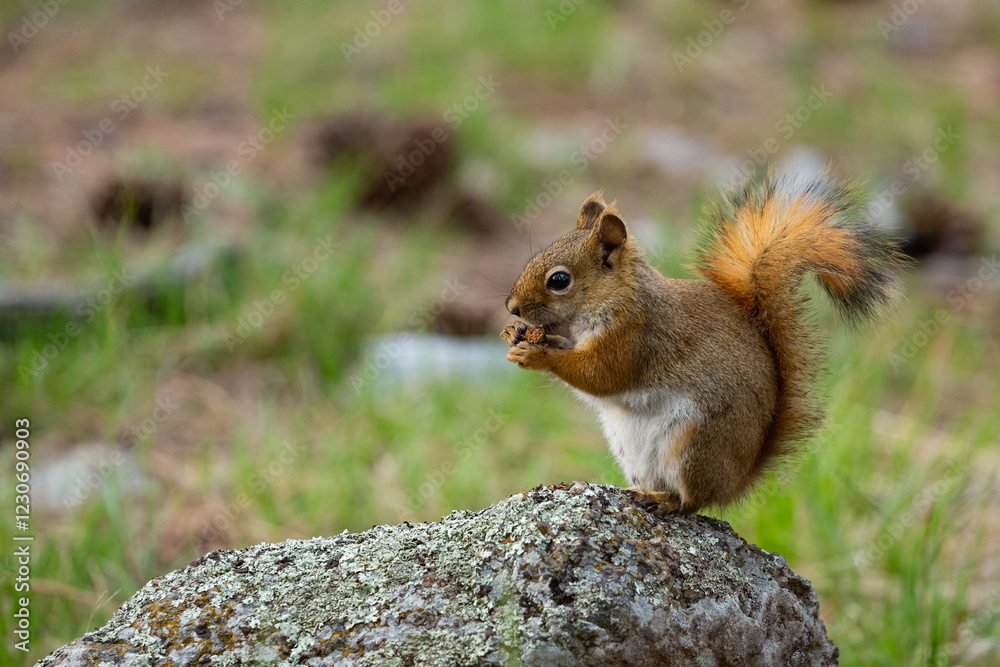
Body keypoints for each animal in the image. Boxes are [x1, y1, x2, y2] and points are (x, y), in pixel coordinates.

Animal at [501, 173, 902, 513]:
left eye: (559, 280)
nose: (512, 307)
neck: (618, 298)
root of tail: (736, 481)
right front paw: (515, 335)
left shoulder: (637, 338)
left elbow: (600, 376)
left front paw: (537, 354)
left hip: (694, 447)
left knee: (692, 503)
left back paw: (664, 501)